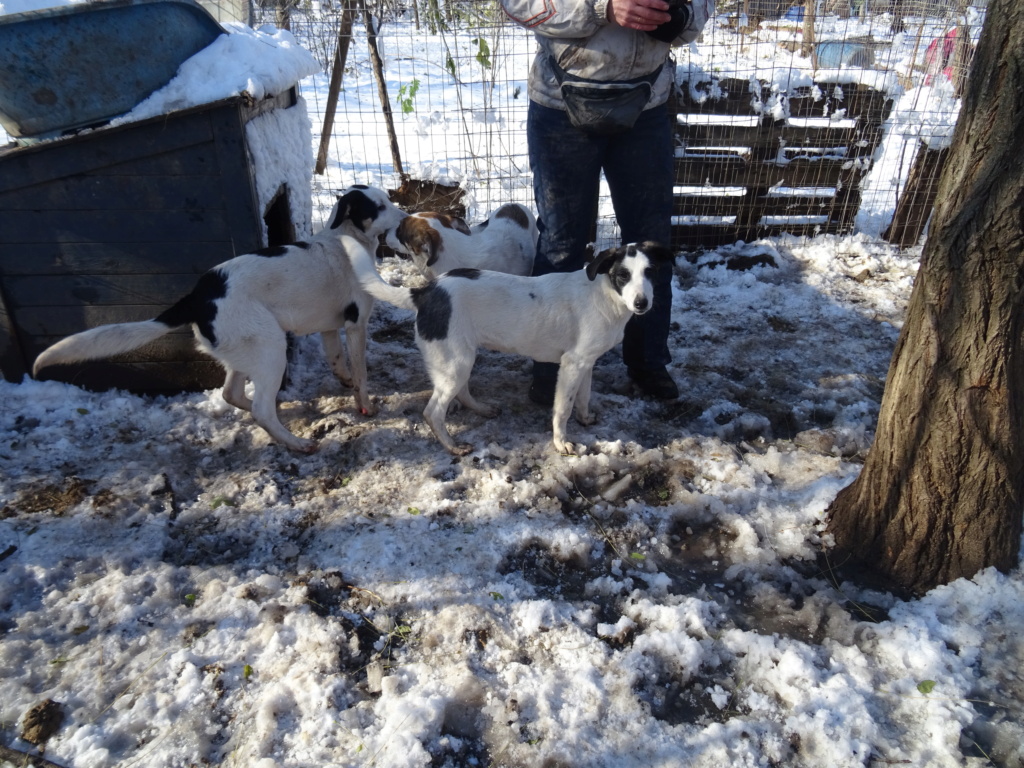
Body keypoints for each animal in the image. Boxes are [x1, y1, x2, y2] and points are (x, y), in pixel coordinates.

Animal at [32, 184, 407, 454]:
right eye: (379, 207)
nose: (405, 217)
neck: (344, 239)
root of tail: (198, 296)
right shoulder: (356, 324)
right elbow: (361, 372)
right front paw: (365, 405)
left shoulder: (330, 327)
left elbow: (338, 362)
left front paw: (345, 382)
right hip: (270, 347)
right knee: (259, 409)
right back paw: (296, 442)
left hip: (246, 349)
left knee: (232, 394)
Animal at [350, 241, 671, 456]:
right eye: (623, 275)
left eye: (651, 271)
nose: (642, 304)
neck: (606, 295)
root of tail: (425, 292)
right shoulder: (572, 363)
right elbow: (563, 408)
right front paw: (560, 442)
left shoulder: (587, 362)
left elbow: (583, 397)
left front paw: (586, 418)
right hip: (455, 362)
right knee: (433, 412)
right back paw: (453, 446)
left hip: (461, 357)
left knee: (461, 391)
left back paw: (481, 409)